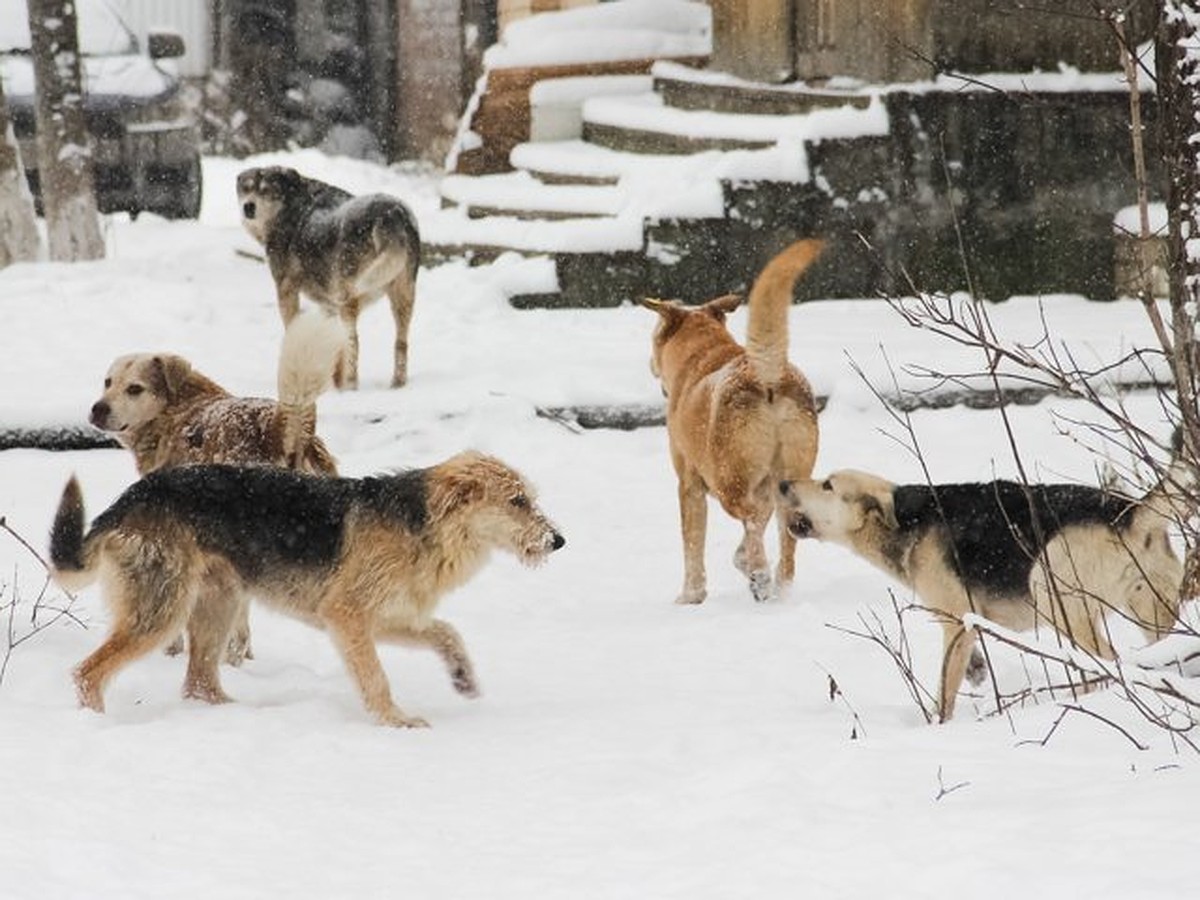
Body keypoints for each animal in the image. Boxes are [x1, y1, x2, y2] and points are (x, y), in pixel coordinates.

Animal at [49, 453, 564, 729]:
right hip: (160, 612)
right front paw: (396, 721)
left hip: (220, 603)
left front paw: (463, 677)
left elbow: (448, 632)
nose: (559, 540)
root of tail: (129, 498)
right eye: (517, 501)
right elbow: (376, 677)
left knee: (199, 683)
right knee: (88, 673)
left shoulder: (389, 617)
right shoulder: (347, 617)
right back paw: (95, 724)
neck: (426, 527)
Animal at [236, 166, 420, 391]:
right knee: (401, 343)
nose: (248, 207)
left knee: (354, 342)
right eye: (246, 189)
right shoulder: (328, 305)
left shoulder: (286, 289)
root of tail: (391, 213)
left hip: (350, 297)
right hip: (403, 297)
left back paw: (351, 387)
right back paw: (396, 384)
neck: (289, 207)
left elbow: (292, 331)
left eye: (265, 191)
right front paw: (331, 382)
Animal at [643, 240, 820, 607]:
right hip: (790, 477)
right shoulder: (766, 485)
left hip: (728, 483)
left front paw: (691, 596)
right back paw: (779, 588)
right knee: (786, 539)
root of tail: (767, 372)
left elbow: (692, 546)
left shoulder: (689, 484)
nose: (650, 365)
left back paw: (761, 577)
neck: (703, 353)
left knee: (750, 519)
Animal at [782, 468, 1185, 724]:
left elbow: (945, 691)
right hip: (1154, 617)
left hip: (1054, 597)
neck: (906, 522)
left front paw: (936, 727)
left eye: (827, 485)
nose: (783, 484)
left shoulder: (955, 624)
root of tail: (1129, 514)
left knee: (1108, 664)